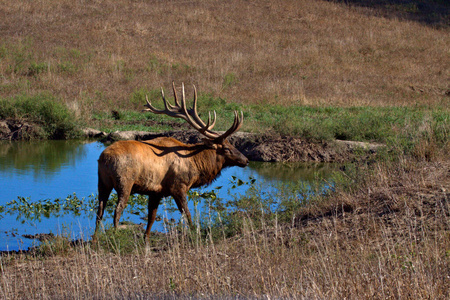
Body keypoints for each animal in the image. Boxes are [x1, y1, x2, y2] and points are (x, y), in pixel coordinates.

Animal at [94, 83, 250, 243]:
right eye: (226, 148)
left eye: (232, 144)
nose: (246, 160)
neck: (195, 165)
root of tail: (105, 158)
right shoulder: (178, 186)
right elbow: (187, 214)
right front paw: (195, 234)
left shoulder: (156, 191)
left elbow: (151, 217)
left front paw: (146, 240)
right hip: (125, 182)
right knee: (117, 210)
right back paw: (115, 236)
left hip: (102, 182)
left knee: (100, 211)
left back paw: (94, 241)